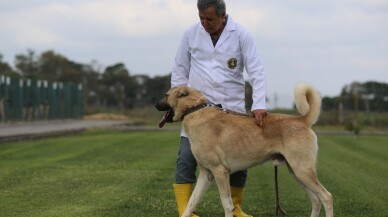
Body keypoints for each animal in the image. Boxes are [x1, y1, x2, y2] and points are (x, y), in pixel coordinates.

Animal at [156, 84, 332, 216]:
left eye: (166, 95)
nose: (156, 105)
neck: (195, 109)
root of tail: (302, 120)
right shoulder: (206, 174)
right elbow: (191, 203)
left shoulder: (220, 172)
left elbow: (227, 205)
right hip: (297, 173)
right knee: (316, 200)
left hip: (303, 171)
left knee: (326, 197)